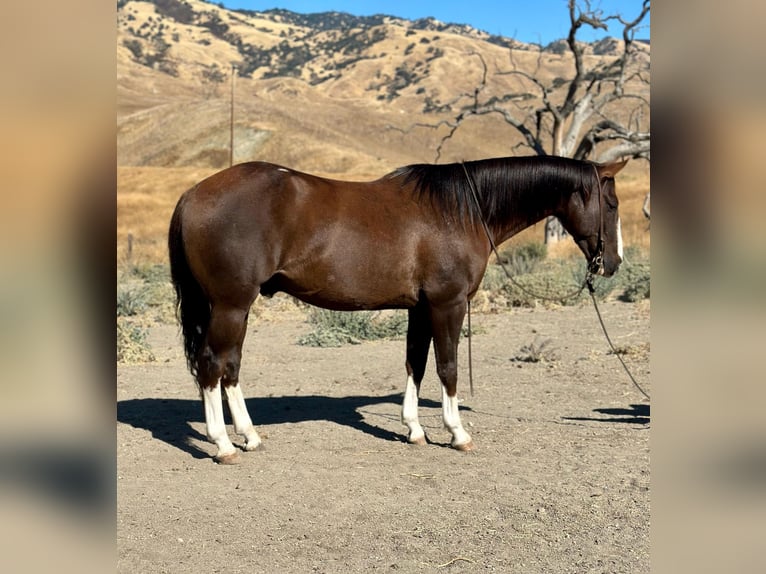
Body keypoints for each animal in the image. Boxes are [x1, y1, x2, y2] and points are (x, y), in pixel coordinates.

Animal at [166, 154, 624, 464]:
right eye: (612, 204)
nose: (614, 263)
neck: (461, 210)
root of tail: (192, 194)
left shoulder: (420, 309)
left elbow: (415, 364)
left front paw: (414, 429)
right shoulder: (447, 304)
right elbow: (447, 368)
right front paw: (457, 433)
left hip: (236, 309)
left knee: (230, 367)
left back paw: (249, 436)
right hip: (230, 305)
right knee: (212, 365)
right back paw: (223, 444)